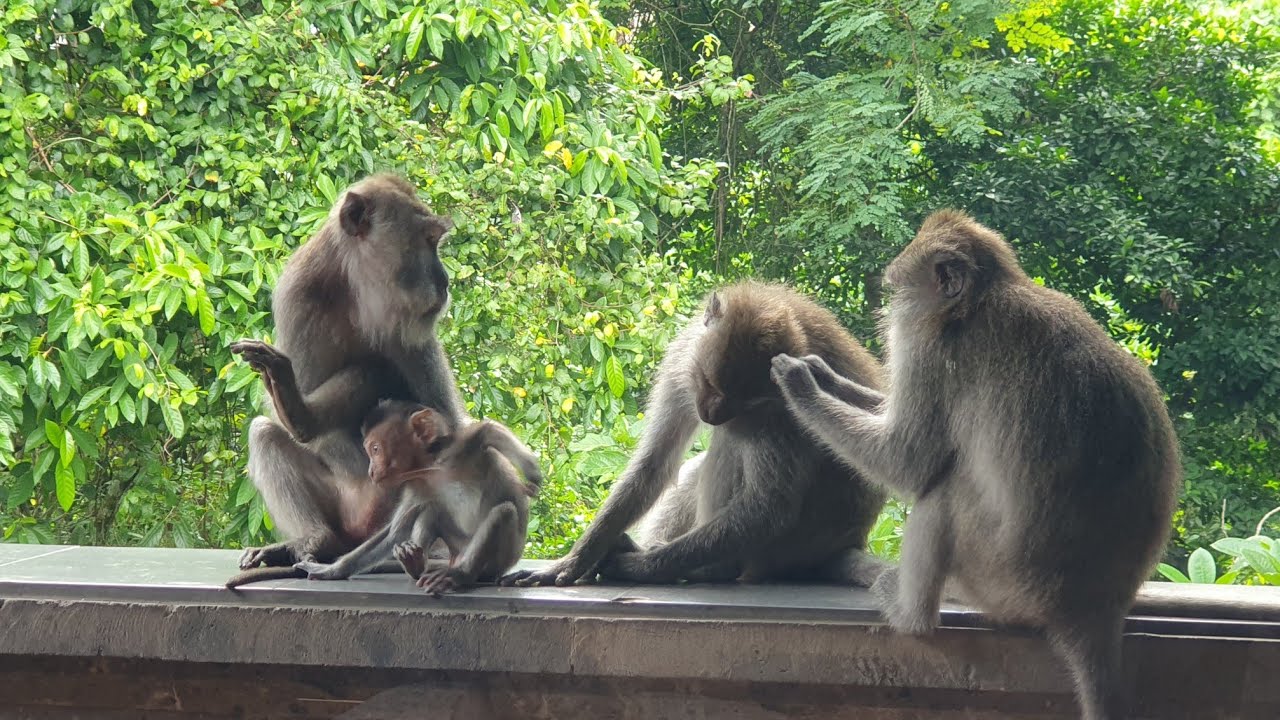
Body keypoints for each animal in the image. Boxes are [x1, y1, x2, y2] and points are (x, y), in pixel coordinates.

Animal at [228, 173, 466, 585]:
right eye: (427, 241)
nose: (445, 280)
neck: (356, 290)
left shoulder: (411, 331)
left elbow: (445, 424)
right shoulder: (297, 299)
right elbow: (298, 430)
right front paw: (298, 415)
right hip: (345, 513)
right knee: (267, 433)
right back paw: (317, 538)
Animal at [293, 400, 536, 595]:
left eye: (376, 449)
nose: (371, 471)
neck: (428, 471)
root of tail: (456, 558)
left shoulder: (455, 450)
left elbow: (488, 430)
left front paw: (532, 473)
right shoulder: (415, 486)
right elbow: (395, 532)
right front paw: (332, 570)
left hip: (498, 560)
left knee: (503, 512)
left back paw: (460, 575)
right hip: (456, 545)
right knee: (431, 510)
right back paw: (416, 565)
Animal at [501, 281, 888, 588]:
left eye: (749, 400)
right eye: (711, 383)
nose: (715, 414)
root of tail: (846, 543)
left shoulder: (783, 404)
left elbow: (770, 507)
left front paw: (641, 568)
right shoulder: (683, 363)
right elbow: (656, 462)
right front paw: (576, 559)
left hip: (783, 550)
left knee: (730, 446)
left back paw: (712, 569)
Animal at [770, 210, 1181, 720]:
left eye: (899, 291)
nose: (888, 311)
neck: (981, 300)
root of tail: (1092, 610)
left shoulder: (934, 351)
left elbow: (909, 461)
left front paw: (802, 385)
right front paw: (823, 374)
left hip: (1000, 576)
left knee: (944, 492)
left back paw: (910, 616)